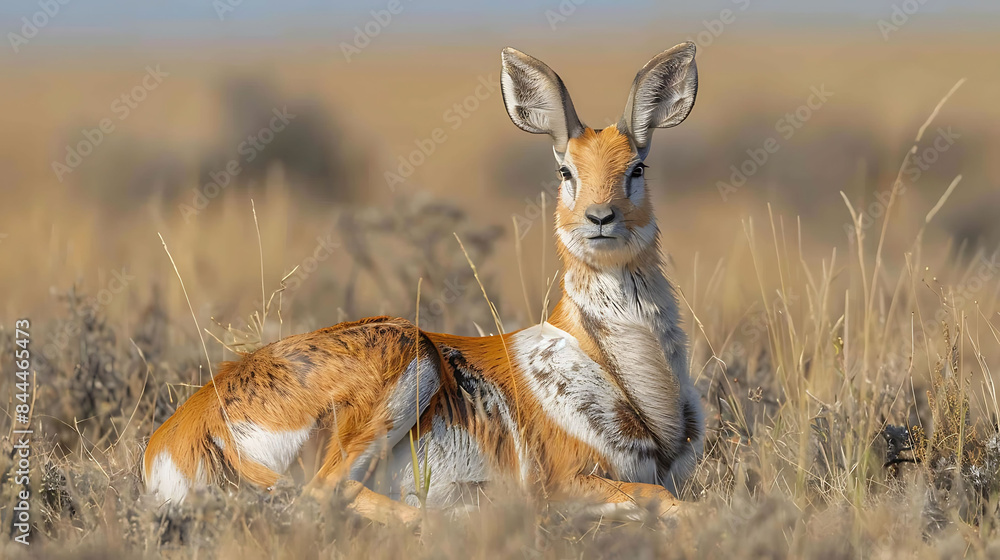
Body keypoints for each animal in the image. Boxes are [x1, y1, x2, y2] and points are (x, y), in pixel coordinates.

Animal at [144, 42, 703, 524]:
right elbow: (669, 502)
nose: (600, 217)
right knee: (327, 492)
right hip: (408, 357)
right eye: (566, 170)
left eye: (637, 167)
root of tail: (184, 429)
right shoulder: (569, 483)